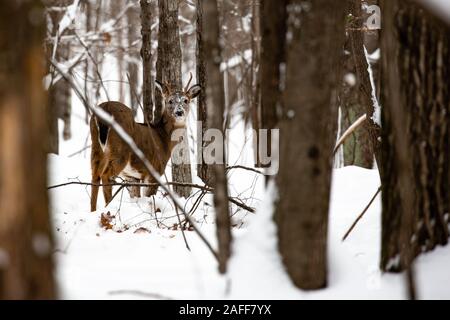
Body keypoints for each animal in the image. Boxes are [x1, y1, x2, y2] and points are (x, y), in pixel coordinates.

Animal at [89, 76, 200, 212]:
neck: (163, 138)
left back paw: (93, 210)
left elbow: (136, 196)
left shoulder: (132, 176)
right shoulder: (155, 170)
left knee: (95, 175)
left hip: (96, 146)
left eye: (186, 100)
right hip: (120, 149)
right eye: (170, 101)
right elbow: (149, 197)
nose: (179, 112)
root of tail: (105, 109)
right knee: (105, 175)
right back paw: (107, 207)